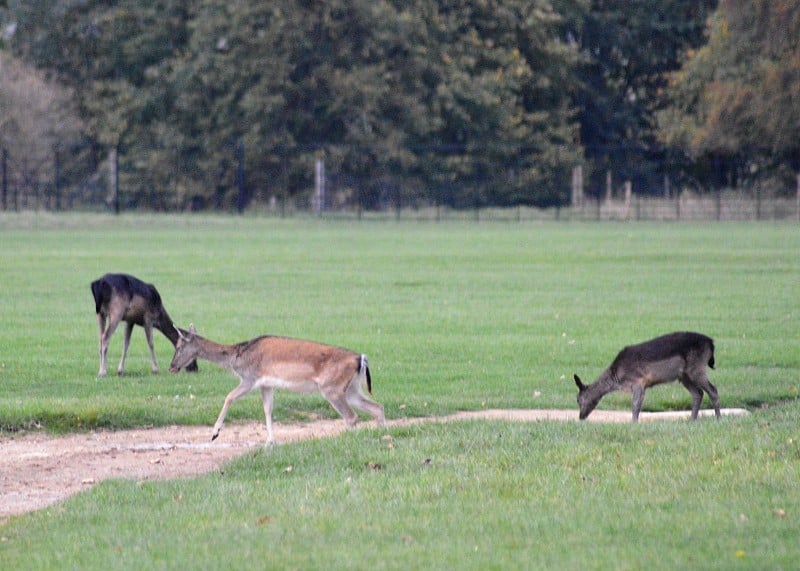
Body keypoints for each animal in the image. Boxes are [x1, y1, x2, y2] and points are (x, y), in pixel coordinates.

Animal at [167, 326, 386, 442]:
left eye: (178, 346)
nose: (171, 367)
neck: (237, 358)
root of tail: (361, 358)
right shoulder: (266, 384)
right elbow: (268, 410)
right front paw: (270, 443)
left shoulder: (250, 378)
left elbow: (229, 397)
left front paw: (214, 434)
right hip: (351, 389)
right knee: (377, 407)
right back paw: (383, 435)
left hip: (332, 388)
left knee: (351, 416)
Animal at [572, 332, 720, 422]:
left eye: (578, 399)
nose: (581, 416)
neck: (618, 378)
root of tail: (711, 343)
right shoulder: (643, 385)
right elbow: (638, 405)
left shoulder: (638, 381)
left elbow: (635, 405)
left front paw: (633, 424)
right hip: (684, 375)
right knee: (698, 393)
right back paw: (692, 420)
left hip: (696, 368)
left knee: (712, 390)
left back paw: (718, 419)